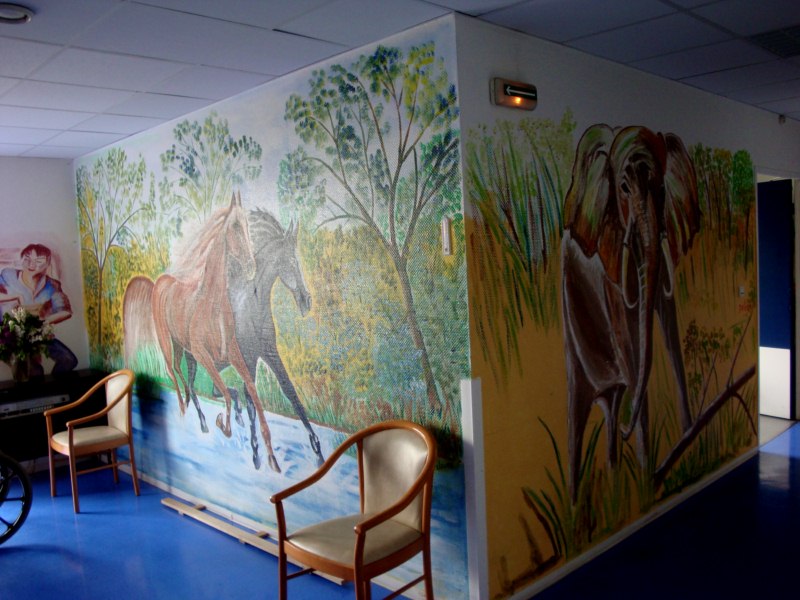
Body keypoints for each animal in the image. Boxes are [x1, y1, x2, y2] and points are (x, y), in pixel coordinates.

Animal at [123, 192, 282, 473]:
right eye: (235, 226)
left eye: (248, 225)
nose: (251, 266)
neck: (212, 305)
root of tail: (159, 283)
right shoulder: (202, 353)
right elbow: (226, 395)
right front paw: (223, 423)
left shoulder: (233, 356)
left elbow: (251, 393)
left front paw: (272, 458)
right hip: (167, 344)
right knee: (173, 374)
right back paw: (186, 411)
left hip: (180, 347)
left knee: (184, 377)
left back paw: (197, 414)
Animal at [561, 124, 701, 502]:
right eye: (622, 188)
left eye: (662, 189)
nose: (628, 426)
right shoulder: (608, 275)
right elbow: (633, 346)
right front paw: (647, 476)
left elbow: (670, 329)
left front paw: (690, 438)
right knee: (577, 414)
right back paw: (577, 504)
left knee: (611, 402)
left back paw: (613, 475)